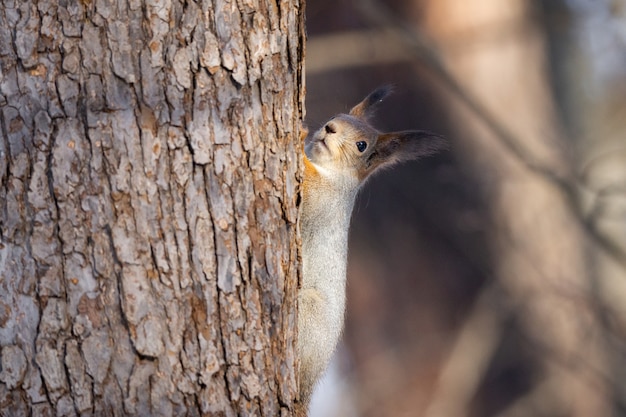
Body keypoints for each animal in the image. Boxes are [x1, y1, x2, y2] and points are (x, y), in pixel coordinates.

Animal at [294, 86, 446, 414]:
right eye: (336, 116)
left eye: (361, 145)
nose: (330, 128)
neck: (330, 172)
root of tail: (308, 386)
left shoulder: (324, 203)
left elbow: (308, 194)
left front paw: (298, 138)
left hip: (309, 312)